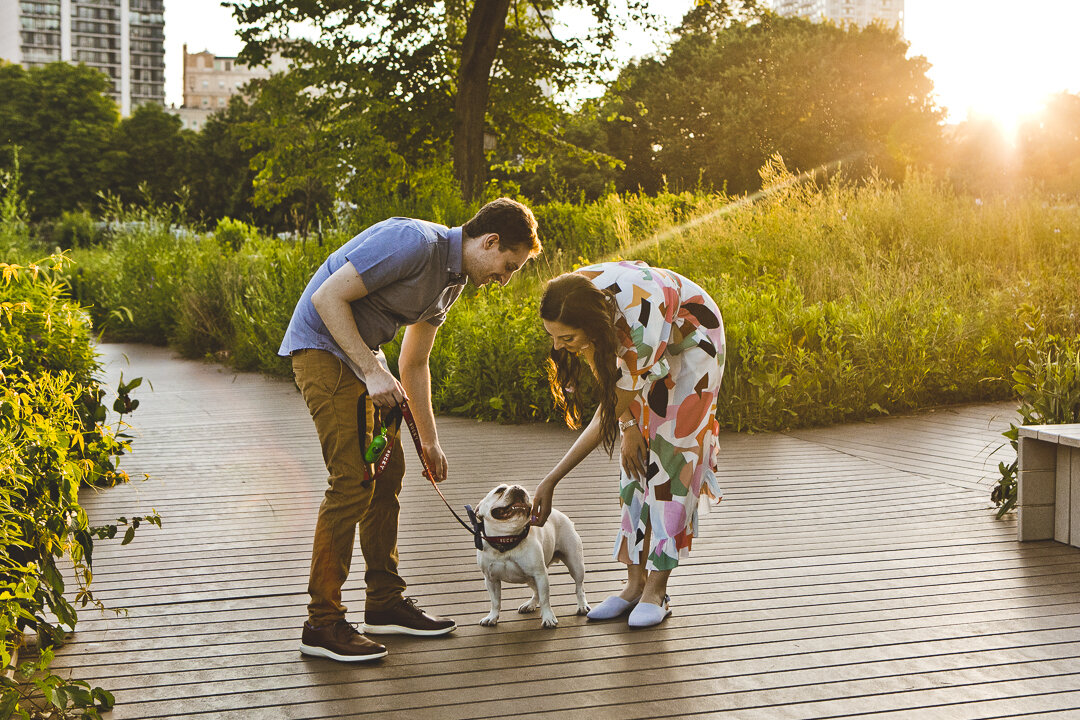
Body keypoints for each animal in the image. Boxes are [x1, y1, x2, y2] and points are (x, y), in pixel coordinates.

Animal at [475, 483, 591, 630]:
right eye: (500, 490)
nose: (517, 487)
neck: (507, 540)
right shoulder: (491, 579)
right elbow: (495, 601)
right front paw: (492, 617)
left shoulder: (540, 574)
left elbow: (545, 598)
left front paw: (548, 618)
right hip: (529, 577)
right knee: (536, 591)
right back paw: (530, 604)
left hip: (575, 564)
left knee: (579, 586)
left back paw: (582, 605)